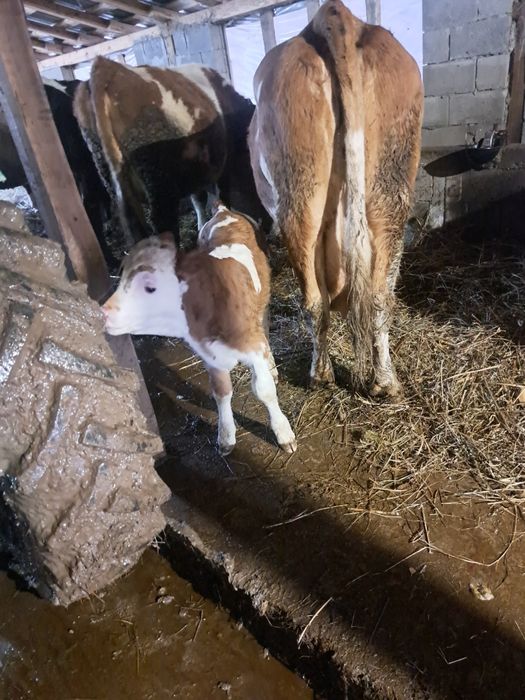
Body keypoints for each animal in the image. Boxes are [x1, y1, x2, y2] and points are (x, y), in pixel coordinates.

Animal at [74, 57, 269, 249]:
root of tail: (106, 66)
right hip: (159, 183)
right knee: (164, 227)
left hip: (112, 177)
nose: (267, 225)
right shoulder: (222, 168)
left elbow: (198, 198)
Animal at [102, 203, 296, 456]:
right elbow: (221, 392)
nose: (104, 311)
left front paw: (283, 433)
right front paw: (226, 436)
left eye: (150, 287)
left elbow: (264, 390)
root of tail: (224, 210)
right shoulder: (210, 356)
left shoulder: (253, 345)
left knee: (265, 326)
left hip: (263, 302)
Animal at [248, 0, 423, 397]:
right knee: (379, 297)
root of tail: (335, 16)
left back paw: (320, 375)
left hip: (299, 200)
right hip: (391, 193)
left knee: (315, 302)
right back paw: (385, 383)